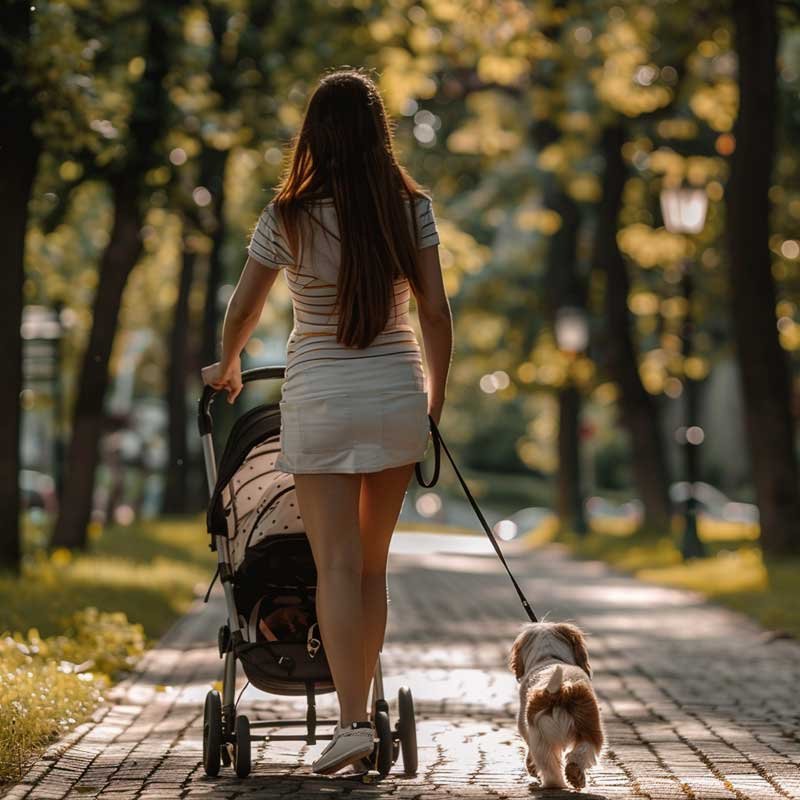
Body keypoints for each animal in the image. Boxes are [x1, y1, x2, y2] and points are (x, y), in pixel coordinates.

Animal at [510, 620, 604, 792]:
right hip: (589, 726)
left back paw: (554, 784)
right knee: (582, 751)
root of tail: (561, 689)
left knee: (549, 768)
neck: (550, 657)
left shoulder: (524, 727)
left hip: (540, 737)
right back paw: (575, 776)